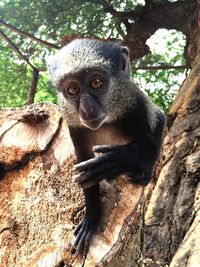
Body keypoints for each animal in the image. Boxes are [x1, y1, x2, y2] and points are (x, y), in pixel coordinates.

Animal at [46, 38, 164, 258]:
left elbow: (150, 145)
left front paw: (114, 162)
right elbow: (84, 167)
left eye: (96, 83)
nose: (87, 109)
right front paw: (91, 217)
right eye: (72, 90)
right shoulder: (74, 126)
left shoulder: (136, 105)